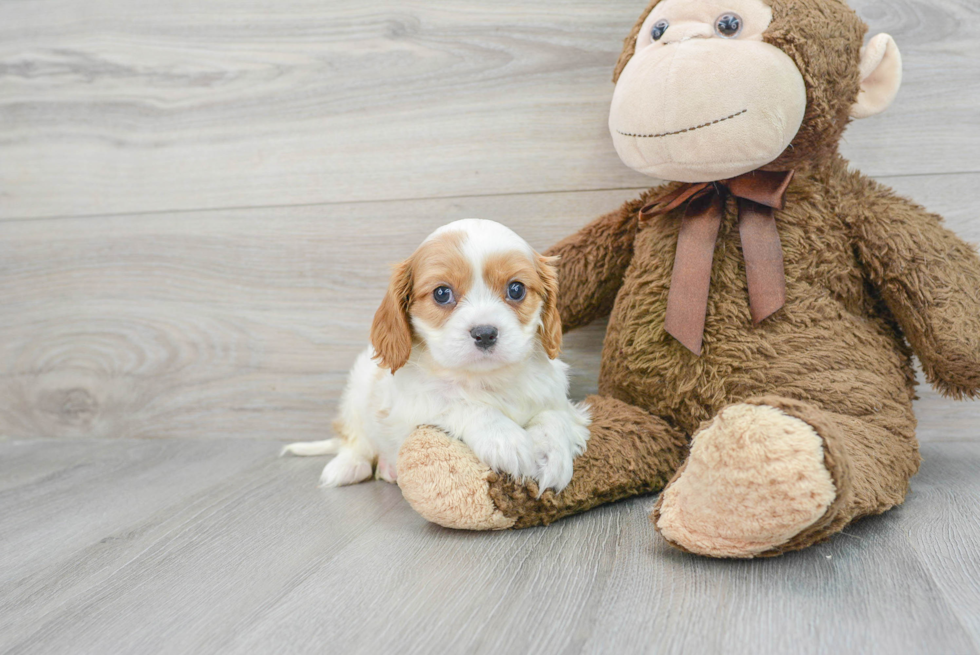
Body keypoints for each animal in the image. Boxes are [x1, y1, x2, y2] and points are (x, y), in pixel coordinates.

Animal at [284, 218, 588, 494]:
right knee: (355, 438)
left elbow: (554, 417)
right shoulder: (414, 406)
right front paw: (506, 440)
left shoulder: (556, 398)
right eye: (442, 293)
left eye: (516, 289)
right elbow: (463, 404)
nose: (485, 333)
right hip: (357, 391)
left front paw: (551, 455)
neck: (484, 379)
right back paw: (349, 466)